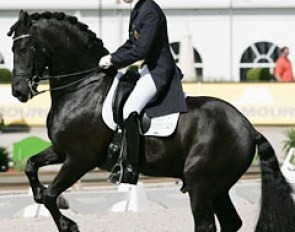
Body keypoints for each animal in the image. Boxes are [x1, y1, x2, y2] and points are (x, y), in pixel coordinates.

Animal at [7, 10, 295, 232]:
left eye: (26, 48)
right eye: (12, 49)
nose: (18, 92)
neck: (82, 89)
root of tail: (248, 127)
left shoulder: (80, 158)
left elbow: (50, 195)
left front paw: (69, 225)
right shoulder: (62, 150)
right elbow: (31, 167)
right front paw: (41, 197)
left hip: (201, 184)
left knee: (206, 225)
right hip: (218, 187)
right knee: (230, 222)